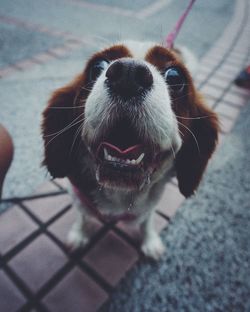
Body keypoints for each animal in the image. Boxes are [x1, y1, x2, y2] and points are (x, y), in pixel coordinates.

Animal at [42, 40, 218, 258]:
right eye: (97, 66)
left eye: (175, 76)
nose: (129, 73)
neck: (120, 191)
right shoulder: (78, 196)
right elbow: (82, 215)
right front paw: (79, 234)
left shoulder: (150, 204)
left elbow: (147, 220)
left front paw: (149, 240)